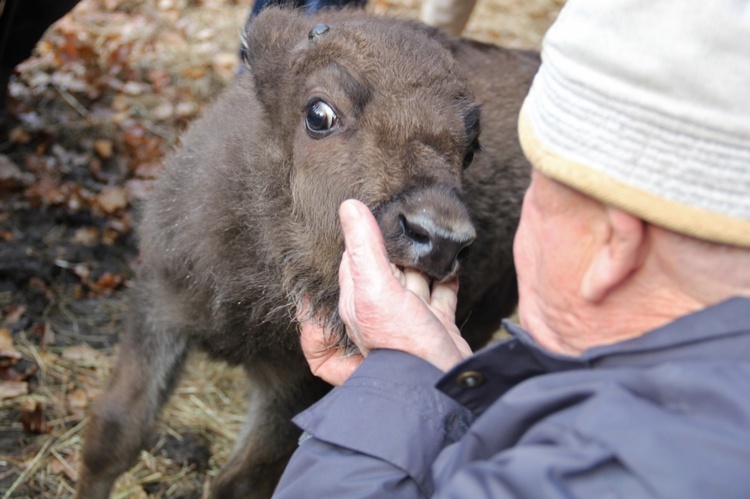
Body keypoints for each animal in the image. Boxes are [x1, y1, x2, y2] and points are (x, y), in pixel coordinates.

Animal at [76, 5, 536, 498]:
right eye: (319, 114)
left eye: (468, 150)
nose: (440, 237)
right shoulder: (160, 306)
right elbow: (115, 433)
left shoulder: (295, 387)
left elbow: (240, 480)